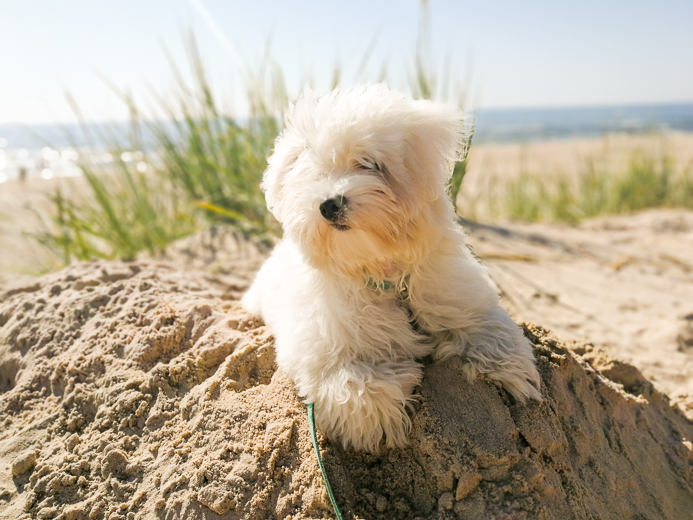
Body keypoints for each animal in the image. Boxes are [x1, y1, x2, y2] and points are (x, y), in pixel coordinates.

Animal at [243, 84, 540, 450]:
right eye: (314, 174)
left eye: (369, 164)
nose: (328, 205)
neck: (385, 274)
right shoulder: (320, 350)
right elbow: (354, 386)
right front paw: (385, 424)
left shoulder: (457, 295)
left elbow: (490, 327)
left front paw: (510, 370)